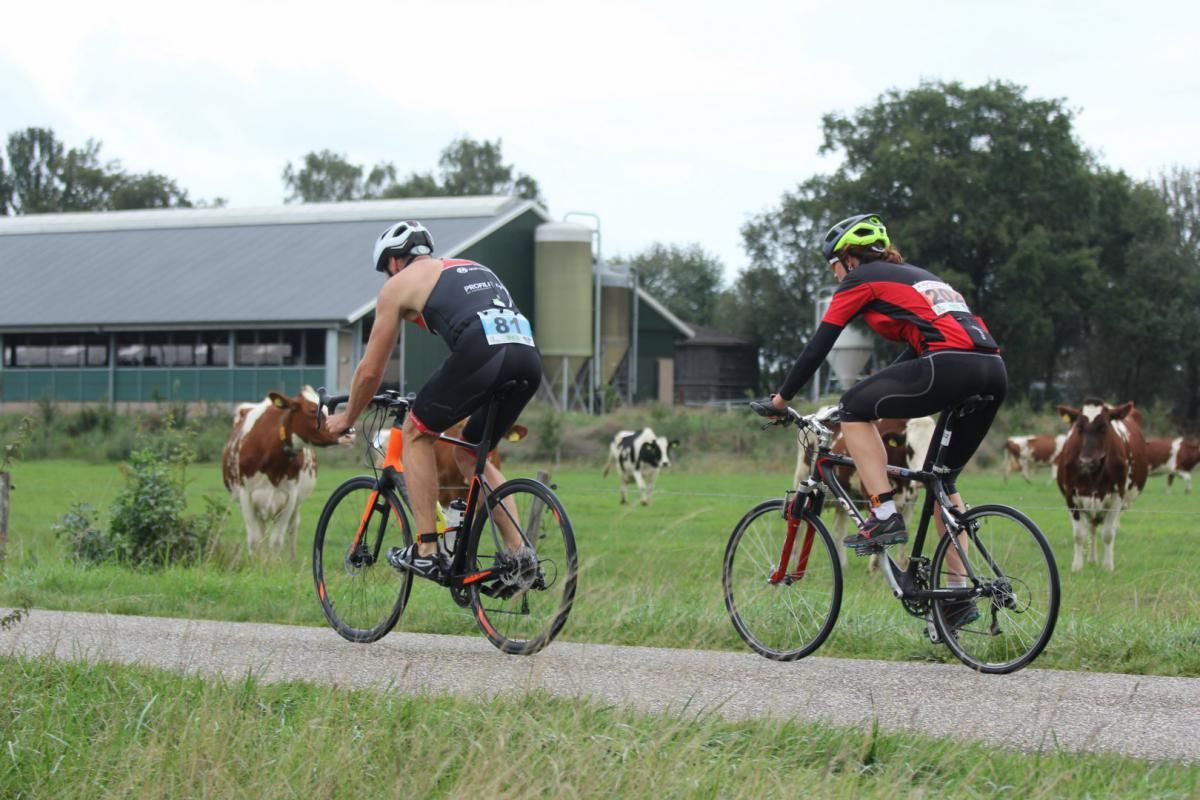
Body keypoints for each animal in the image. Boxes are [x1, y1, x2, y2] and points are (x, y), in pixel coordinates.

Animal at [222, 386, 349, 558]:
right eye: (312, 410)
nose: (349, 432)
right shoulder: (246, 496)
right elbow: (255, 540)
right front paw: (256, 563)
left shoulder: (290, 498)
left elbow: (276, 541)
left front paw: (272, 564)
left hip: (296, 503)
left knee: (293, 526)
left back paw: (292, 559)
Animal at [794, 415, 937, 572]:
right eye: (910, 449)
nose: (921, 482)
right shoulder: (869, 494)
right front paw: (874, 567)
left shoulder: (910, 500)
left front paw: (901, 564)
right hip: (802, 476)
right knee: (799, 524)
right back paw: (795, 561)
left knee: (838, 528)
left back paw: (842, 563)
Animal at [1056, 400, 1148, 572]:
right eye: (1079, 427)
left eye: (1104, 427)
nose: (1086, 461)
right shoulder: (1071, 497)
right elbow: (1079, 534)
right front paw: (1077, 566)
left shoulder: (1116, 498)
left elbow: (1108, 534)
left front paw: (1108, 566)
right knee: (1091, 527)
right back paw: (1092, 560)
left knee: (1108, 527)